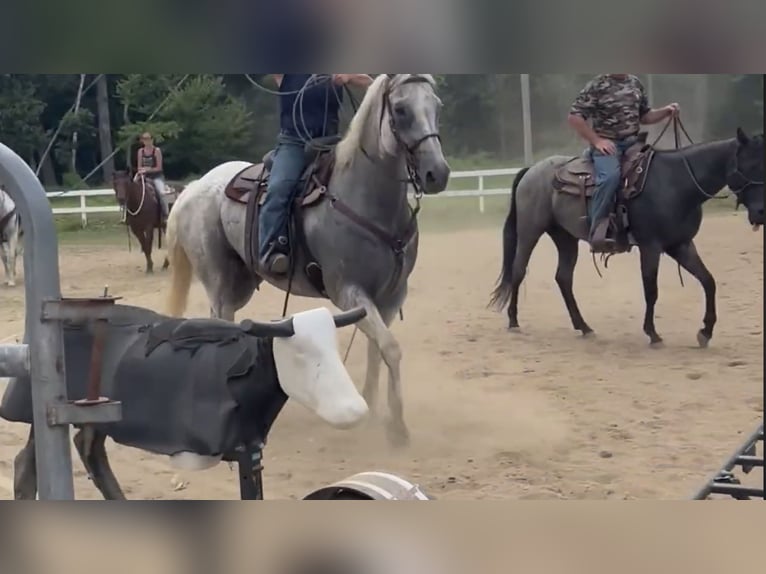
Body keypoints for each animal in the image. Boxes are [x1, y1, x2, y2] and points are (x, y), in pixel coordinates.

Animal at [163, 74, 450, 447]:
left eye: (436, 106)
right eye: (400, 110)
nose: (437, 173)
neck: (364, 197)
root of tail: (195, 187)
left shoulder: (390, 296)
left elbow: (379, 349)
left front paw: (373, 410)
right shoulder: (348, 292)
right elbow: (390, 347)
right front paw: (397, 429)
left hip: (240, 283)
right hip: (219, 282)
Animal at [489, 127, 764, 347]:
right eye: (749, 166)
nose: (761, 213)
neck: (677, 182)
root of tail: (531, 170)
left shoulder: (681, 245)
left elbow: (708, 281)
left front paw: (705, 332)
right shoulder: (651, 246)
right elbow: (651, 289)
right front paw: (653, 334)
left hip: (565, 237)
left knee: (563, 278)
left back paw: (584, 327)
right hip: (530, 231)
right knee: (518, 270)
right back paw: (513, 321)